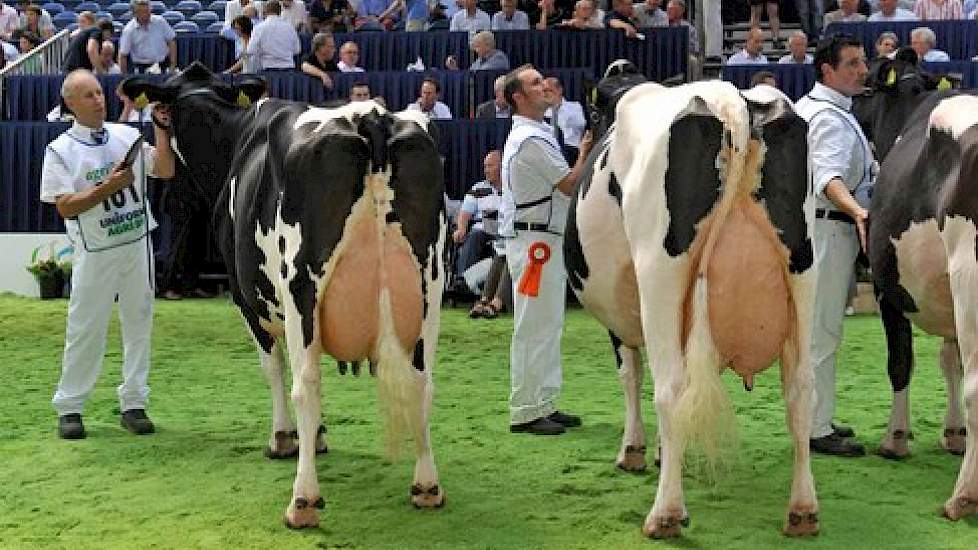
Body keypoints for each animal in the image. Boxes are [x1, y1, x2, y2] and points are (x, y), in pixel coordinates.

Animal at [120, 62, 448, 528]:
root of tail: (371, 119)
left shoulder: (248, 300)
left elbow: (272, 367)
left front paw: (283, 438)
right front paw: (321, 437)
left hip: (301, 289)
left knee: (304, 385)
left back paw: (303, 501)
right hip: (429, 288)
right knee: (422, 382)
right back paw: (426, 486)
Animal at [564, 61, 816, 540]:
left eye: (592, 115)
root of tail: (732, 100)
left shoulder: (624, 315)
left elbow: (630, 374)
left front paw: (634, 451)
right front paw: (663, 453)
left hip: (659, 273)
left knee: (671, 388)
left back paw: (665, 513)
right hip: (803, 271)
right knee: (799, 392)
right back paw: (803, 510)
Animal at [856, 76, 976, 520]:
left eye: (867, 87)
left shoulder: (886, 289)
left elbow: (900, 363)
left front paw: (895, 438)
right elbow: (950, 362)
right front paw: (954, 433)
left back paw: (962, 497)